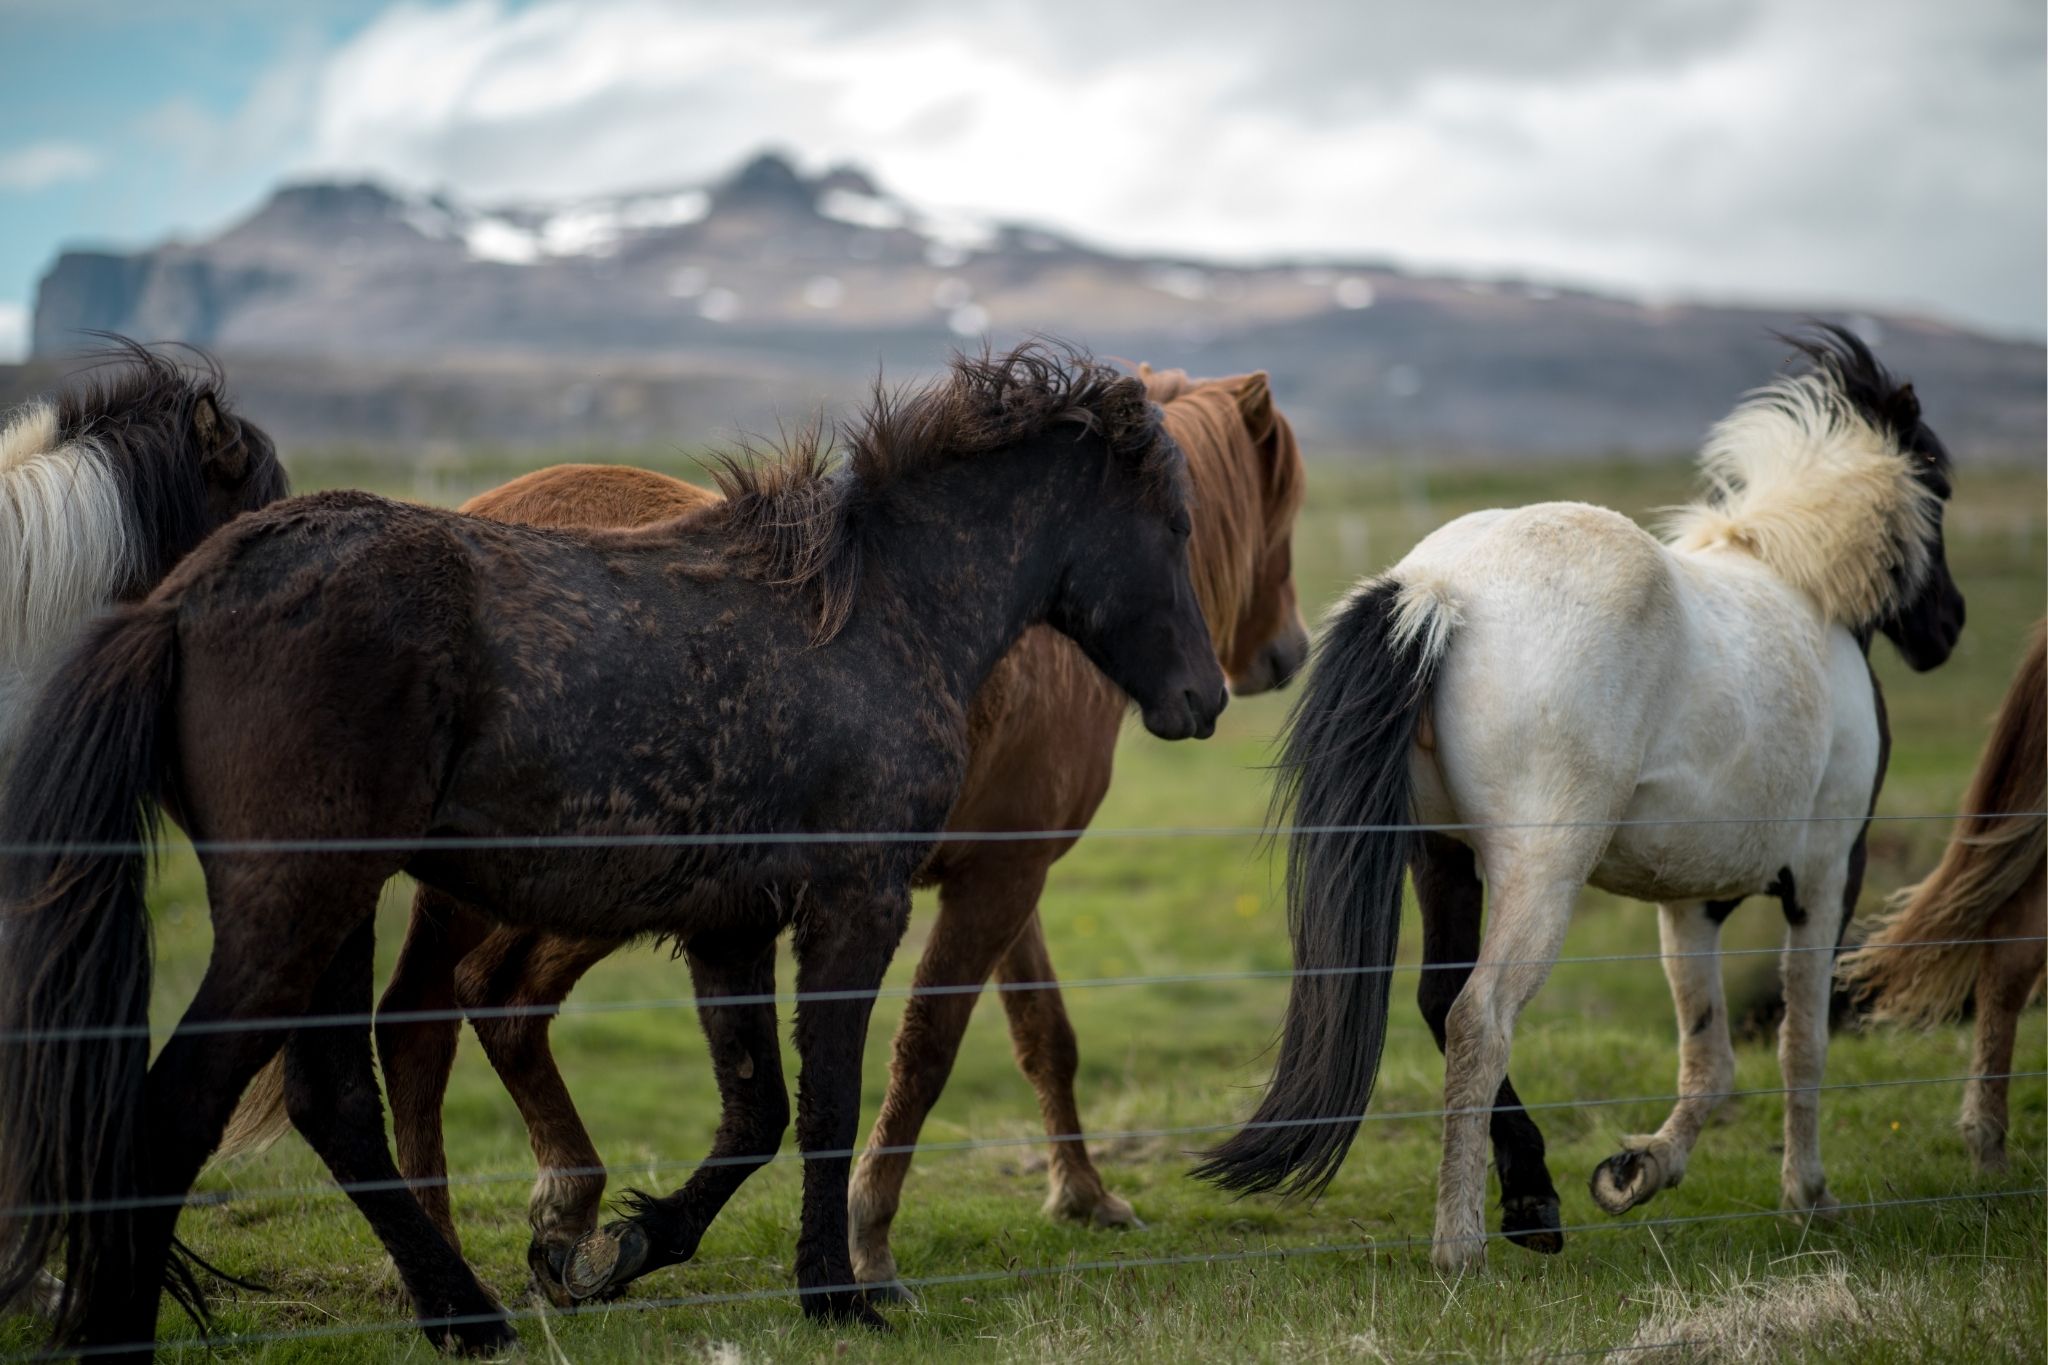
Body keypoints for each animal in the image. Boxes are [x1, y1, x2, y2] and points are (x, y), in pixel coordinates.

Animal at [1195, 327, 1964, 1272]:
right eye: (1939, 481)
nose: (1949, 626)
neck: (1797, 584)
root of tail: (1443, 589)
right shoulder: (1825, 875)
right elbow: (1801, 1042)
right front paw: (1808, 1198)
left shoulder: (1693, 901)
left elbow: (1709, 1057)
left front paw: (1634, 1172)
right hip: (1539, 870)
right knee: (1480, 1015)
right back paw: (1462, 1245)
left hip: (1442, 857)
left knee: (1441, 1001)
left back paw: (1532, 1200)